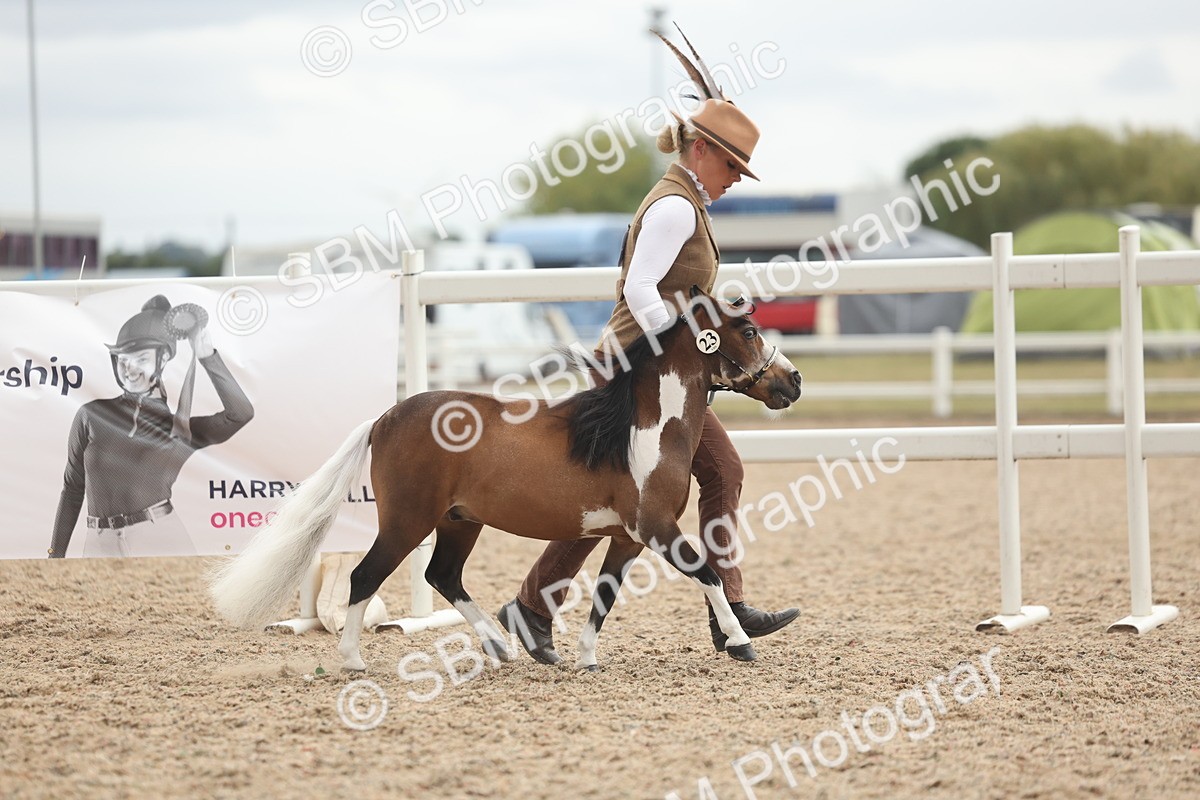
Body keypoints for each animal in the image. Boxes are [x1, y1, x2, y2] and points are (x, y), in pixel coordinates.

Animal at [209, 287, 803, 670]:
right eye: (749, 330)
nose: (793, 380)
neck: (643, 428)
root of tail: (385, 418)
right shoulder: (657, 529)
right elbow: (708, 575)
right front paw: (741, 642)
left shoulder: (627, 538)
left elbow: (605, 596)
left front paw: (585, 658)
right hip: (406, 522)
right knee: (365, 576)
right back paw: (352, 661)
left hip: (458, 522)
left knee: (443, 576)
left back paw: (498, 648)